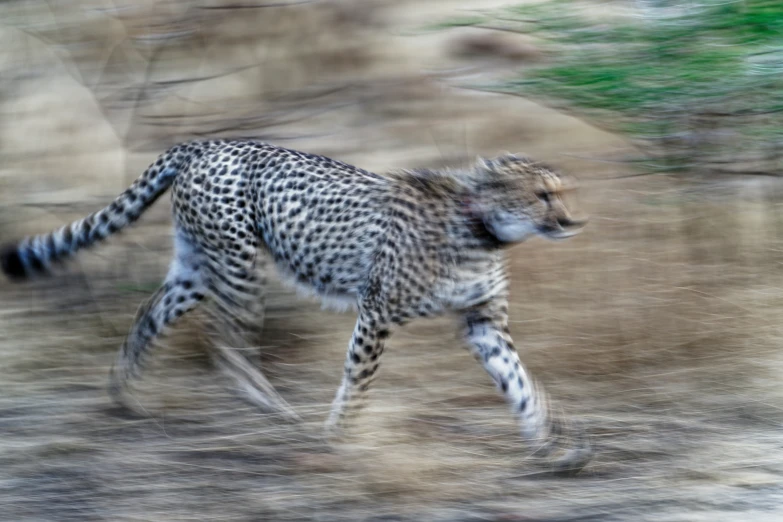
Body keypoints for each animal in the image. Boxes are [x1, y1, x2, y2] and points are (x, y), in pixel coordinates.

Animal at [0, 138, 588, 468]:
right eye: (542, 195)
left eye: (562, 192)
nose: (570, 221)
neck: (481, 228)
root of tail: (208, 143)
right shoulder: (376, 311)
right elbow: (358, 381)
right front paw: (339, 437)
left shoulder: (482, 323)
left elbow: (519, 382)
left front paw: (552, 446)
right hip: (238, 264)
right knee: (225, 341)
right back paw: (275, 409)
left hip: (196, 267)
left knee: (151, 313)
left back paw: (124, 393)